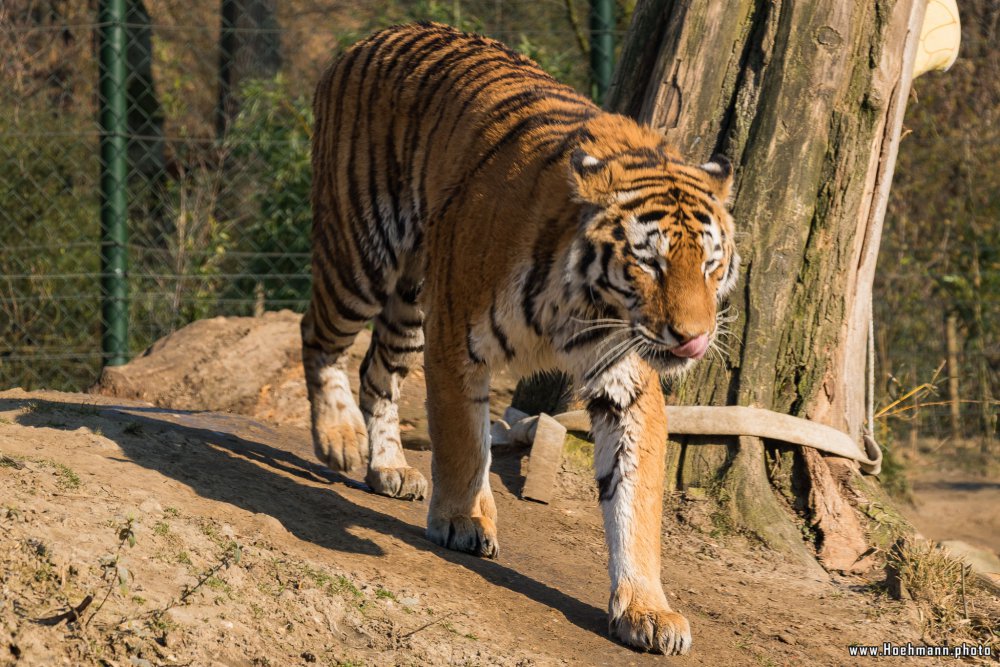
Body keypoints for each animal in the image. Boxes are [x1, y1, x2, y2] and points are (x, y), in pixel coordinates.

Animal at [300, 22, 740, 656]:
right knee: (320, 338)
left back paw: (390, 468)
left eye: (709, 264)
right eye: (650, 263)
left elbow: (634, 499)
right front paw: (462, 520)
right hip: (360, 255)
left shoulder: (627, 382)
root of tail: (370, 38)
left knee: (378, 370)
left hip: (409, 299)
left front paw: (647, 609)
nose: (693, 340)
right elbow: (464, 442)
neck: (586, 304)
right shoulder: (455, 336)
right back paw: (338, 437)